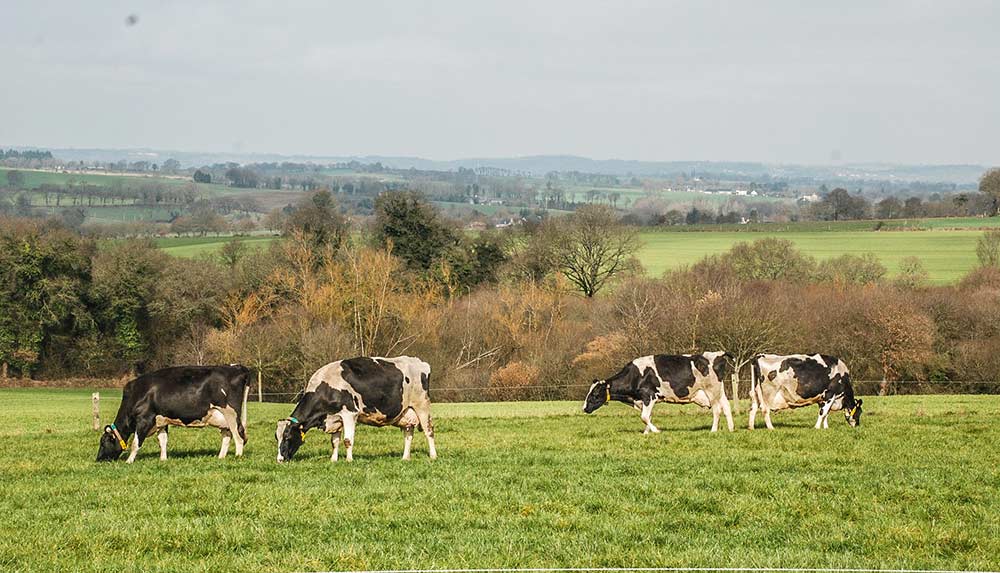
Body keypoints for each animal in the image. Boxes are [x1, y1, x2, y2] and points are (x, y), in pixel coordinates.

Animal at [96, 364, 254, 462]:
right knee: (227, 436)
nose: (98, 459)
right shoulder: (161, 420)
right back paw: (220, 457)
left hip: (231, 413)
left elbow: (136, 442)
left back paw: (237, 457)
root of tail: (237, 367)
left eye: (103, 442)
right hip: (222, 417)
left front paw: (129, 460)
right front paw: (163, 459)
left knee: (238, 436)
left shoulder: (144, 419)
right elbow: (163, 440)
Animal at [276, 356, 436, 462]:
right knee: (408, 434)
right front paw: (333, 460)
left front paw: (349, 460)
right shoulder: (335, 418)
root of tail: (419, 362)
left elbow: (347, 440)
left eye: (287, 437)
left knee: (429, 431)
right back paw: (405, 458)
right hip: (406, 412)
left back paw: (433, 456)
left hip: (422, 406)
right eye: (276, 437)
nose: (280, 459)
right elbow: (334, 441)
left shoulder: (349, 414)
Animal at [580, 348, 736, 434]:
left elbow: (644, 417)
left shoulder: (649, 396)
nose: (584, 408)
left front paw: (655, 431)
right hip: (719, 390)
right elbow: (648, 417)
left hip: (711, 390)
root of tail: (718, 353)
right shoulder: (644, 400)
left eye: (594, 394)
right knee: (726, 406)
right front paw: (646, 433)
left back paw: (713, 430)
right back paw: (731, 429)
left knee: (717, 409)